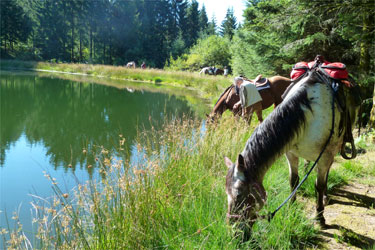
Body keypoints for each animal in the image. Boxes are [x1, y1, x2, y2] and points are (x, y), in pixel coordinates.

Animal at [225, 70, 360, 238]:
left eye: (239, 195)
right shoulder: (290, 154)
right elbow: (293, 181)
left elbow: (319, 185)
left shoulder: (325, 157)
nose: (234, 232)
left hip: (332, 152)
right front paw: (292, 207)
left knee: (326, 174)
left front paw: (319, 217)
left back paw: (325, 197)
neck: (309, 113)